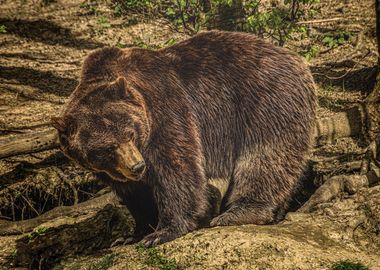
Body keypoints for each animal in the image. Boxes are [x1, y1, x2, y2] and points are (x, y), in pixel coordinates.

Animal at [51, 29, 318, 247]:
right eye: (106, 148)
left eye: (130, 133)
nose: (137, 166)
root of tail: (298, 60)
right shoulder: (112, 170)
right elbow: (135, 194)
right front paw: (131, 235)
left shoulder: (165, 109)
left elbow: (176, 169)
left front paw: (163, 232)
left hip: (266, 101)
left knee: (265, 157)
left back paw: (238, 212)